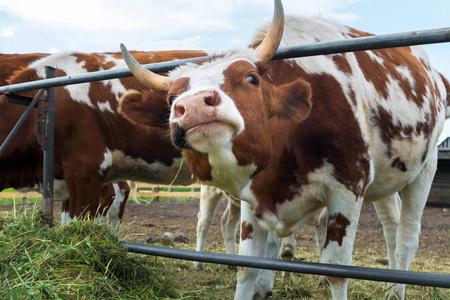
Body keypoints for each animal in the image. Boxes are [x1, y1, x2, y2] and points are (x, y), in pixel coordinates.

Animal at [119, 1, 450, 298]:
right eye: (172, 98)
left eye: (251, 78)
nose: (194, 105)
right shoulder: (252, 198)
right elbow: (247, 264)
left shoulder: (348, 185)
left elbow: (336, 269)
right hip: (385, 178)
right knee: (391, 227)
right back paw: (390, 287)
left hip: (425, 169)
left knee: (407, 236)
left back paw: (397, 290)